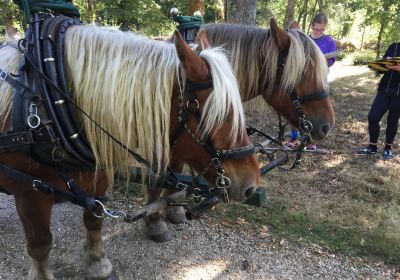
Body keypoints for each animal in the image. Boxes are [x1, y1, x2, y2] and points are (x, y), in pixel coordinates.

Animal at [0, 21, 260, 278]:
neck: (45, 105)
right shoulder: (30, 195)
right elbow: (40, 245)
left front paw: (98, 262)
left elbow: (93, 222)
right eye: (218, 113)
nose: (251, 186)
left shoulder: (98, 178)